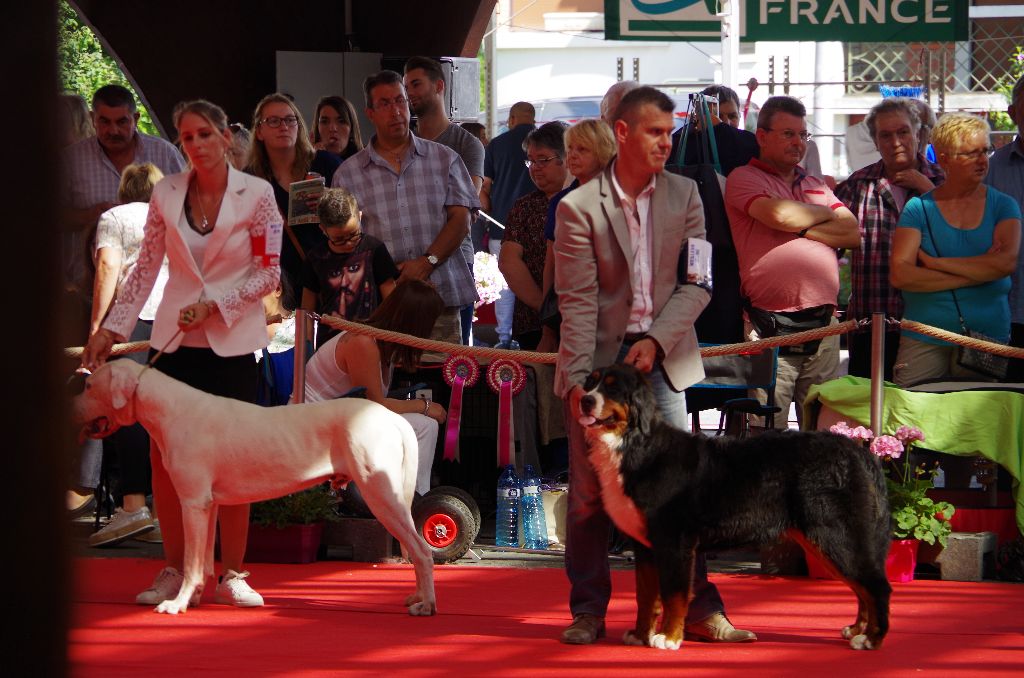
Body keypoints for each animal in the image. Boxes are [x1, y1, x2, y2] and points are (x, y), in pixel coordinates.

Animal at [73, 364, 436, 618]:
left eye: (89, 385)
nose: (71, 404)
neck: (170, 408)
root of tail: (392, 417)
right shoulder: (208, 505)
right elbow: (203, 562)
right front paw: (193, 598)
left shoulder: (192, 502)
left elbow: (191, 563)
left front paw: (176, 604)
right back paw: (418, 597)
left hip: (381, 494)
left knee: (422, 550)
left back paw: (426, 605)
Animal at [581, 364, 892, 651]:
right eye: (590, 382)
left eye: (613, 387)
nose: (584, 400)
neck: (635, 445)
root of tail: (857, 450)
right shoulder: (645, 545)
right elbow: (646, 595)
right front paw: (640, 634)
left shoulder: (673, 541)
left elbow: (674, 594)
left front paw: (669, 637)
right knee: (862, 586)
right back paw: (856, 630)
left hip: (835, 534)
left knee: (876, 585)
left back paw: (871, 639)